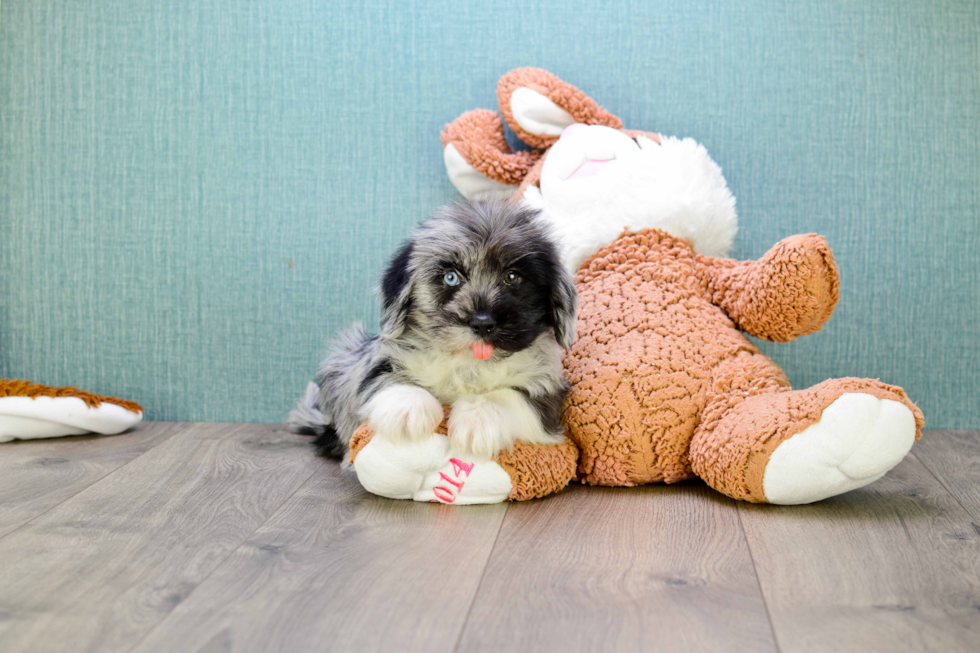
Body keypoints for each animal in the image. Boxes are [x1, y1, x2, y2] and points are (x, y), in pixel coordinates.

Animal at [290, 199, 580, 458]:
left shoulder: (548, 393)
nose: (482, 322)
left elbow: (511, 396)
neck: (469, 365)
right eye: (450, 277)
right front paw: (409, 407)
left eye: (513, 277)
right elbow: (385, 377)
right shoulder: (367, 363)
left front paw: (479, 417)